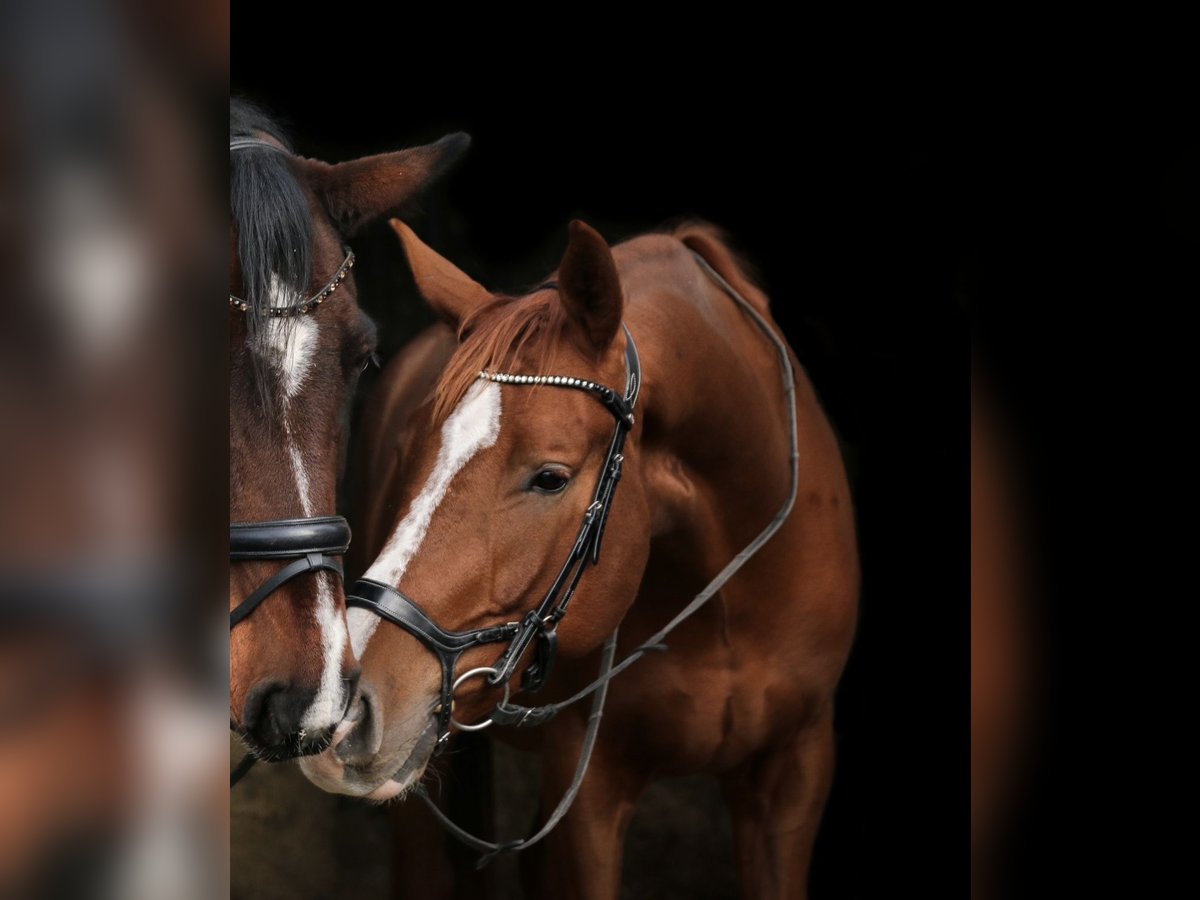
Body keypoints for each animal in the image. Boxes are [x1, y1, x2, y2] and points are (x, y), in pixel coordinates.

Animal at [302, 218, 859, 898]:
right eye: (408, 453)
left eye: (550, 477)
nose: (342, 708)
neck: (730, 601)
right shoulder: (590, 790)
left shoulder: (794, 773)